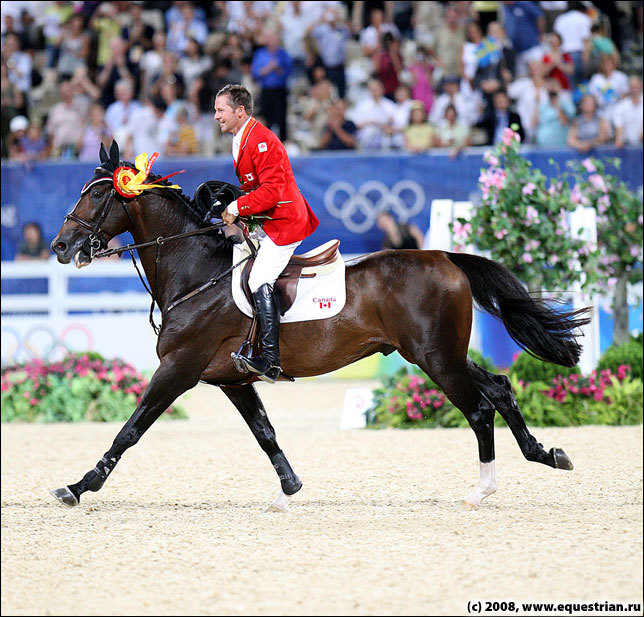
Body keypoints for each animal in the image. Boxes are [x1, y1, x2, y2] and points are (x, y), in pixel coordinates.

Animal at [50, 143, 592, 510]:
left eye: (99, 196)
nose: (60, 246)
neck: (197, 274)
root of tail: (445, 256)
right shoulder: (231, 379)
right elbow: (265, 433)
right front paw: (288, 490)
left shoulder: (179, 370)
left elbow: (130, 430)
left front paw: (78, 487)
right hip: (442, 353)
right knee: (498, 387)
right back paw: (547, 455)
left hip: (435, 358)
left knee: (479, 408)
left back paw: (482, 489)